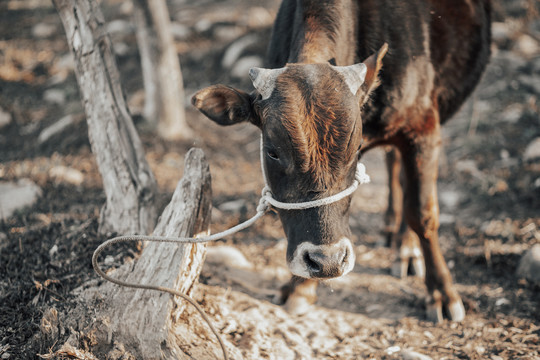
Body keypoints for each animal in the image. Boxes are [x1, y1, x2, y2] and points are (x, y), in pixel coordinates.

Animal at [192, 0, 492, 322]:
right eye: (272, 150)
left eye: (356, 146)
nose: (328, 261)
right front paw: (300, 288)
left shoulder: (423, 128)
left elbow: (423, 214)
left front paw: (443, 294)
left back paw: (406, 248)